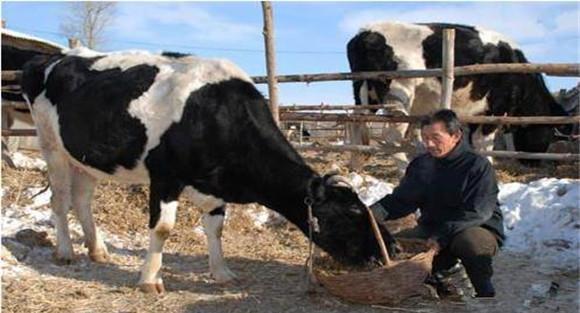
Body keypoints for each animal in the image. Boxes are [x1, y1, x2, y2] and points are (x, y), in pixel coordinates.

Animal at [22, 48, 394, 292]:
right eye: (351, 213)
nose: (392, 250)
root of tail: (54, 58)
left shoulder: (214, 186)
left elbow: (216, 228)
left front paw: (222, 272)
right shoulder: (165, 177)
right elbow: (162, 229)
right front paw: (149, 280)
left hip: (85, 158)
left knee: (82, 199)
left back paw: (98, 251)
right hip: (51, 146)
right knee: (60, 200)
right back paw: (66, 252)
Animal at [346, 21, 568, 168]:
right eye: (548, 132)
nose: (532, 163)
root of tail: (365, 32)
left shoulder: (474, 112)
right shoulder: (494, 108)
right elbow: (483, 144)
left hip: (364, 92)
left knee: (357, 124)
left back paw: (356, 169)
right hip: (400, 94)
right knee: (391, 136)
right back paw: (405, 167)